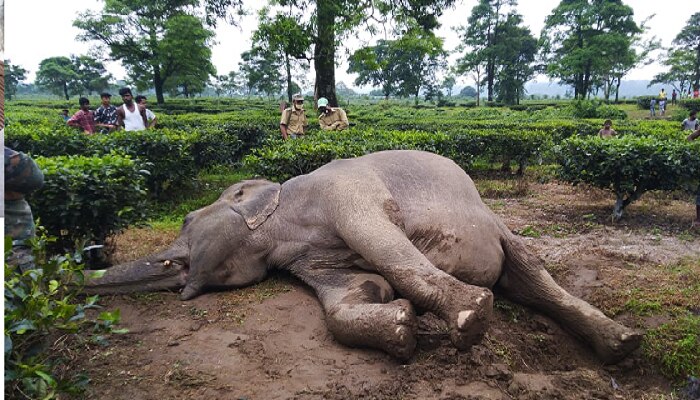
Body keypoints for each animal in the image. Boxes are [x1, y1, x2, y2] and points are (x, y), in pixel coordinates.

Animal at [85, 149, 644, 362]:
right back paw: (620, 344)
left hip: (498, 224)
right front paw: (398, 325)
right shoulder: (306, 259)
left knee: (531, 272)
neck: (282, 206)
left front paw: (470, 316)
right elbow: (351, 292)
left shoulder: (345, 191)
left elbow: (382, 240)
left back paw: (623, 343)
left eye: (184, 223)